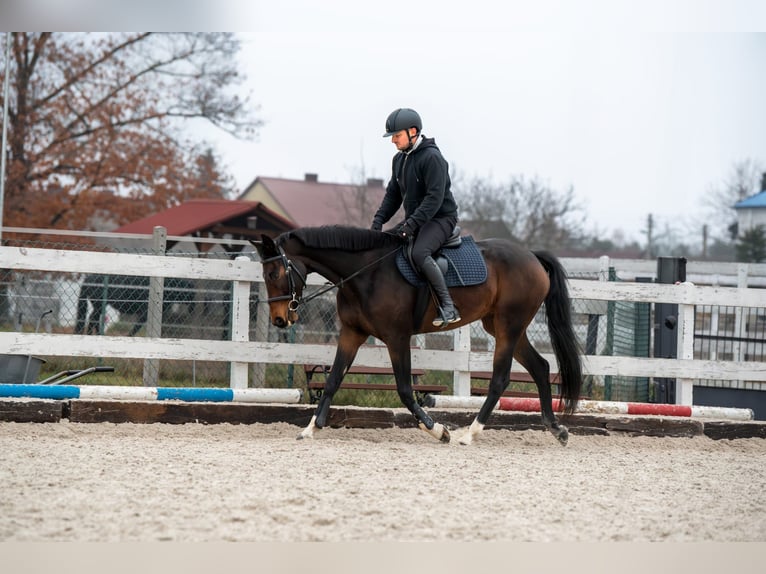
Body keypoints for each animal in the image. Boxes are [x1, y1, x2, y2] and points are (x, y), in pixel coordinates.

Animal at [255, 225, 584, 446]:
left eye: (274, 274)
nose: (280, 319)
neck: (366, 273)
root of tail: (532, 257)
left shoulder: (397, 337)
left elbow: (404, 389)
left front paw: (437, 429)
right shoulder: (351, 333)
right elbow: (334, 380)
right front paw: (311, 428)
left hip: (508, 326)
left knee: (501, 379)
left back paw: (470, 433)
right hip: (503, 327)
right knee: (540, 367)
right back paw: (556, 429)